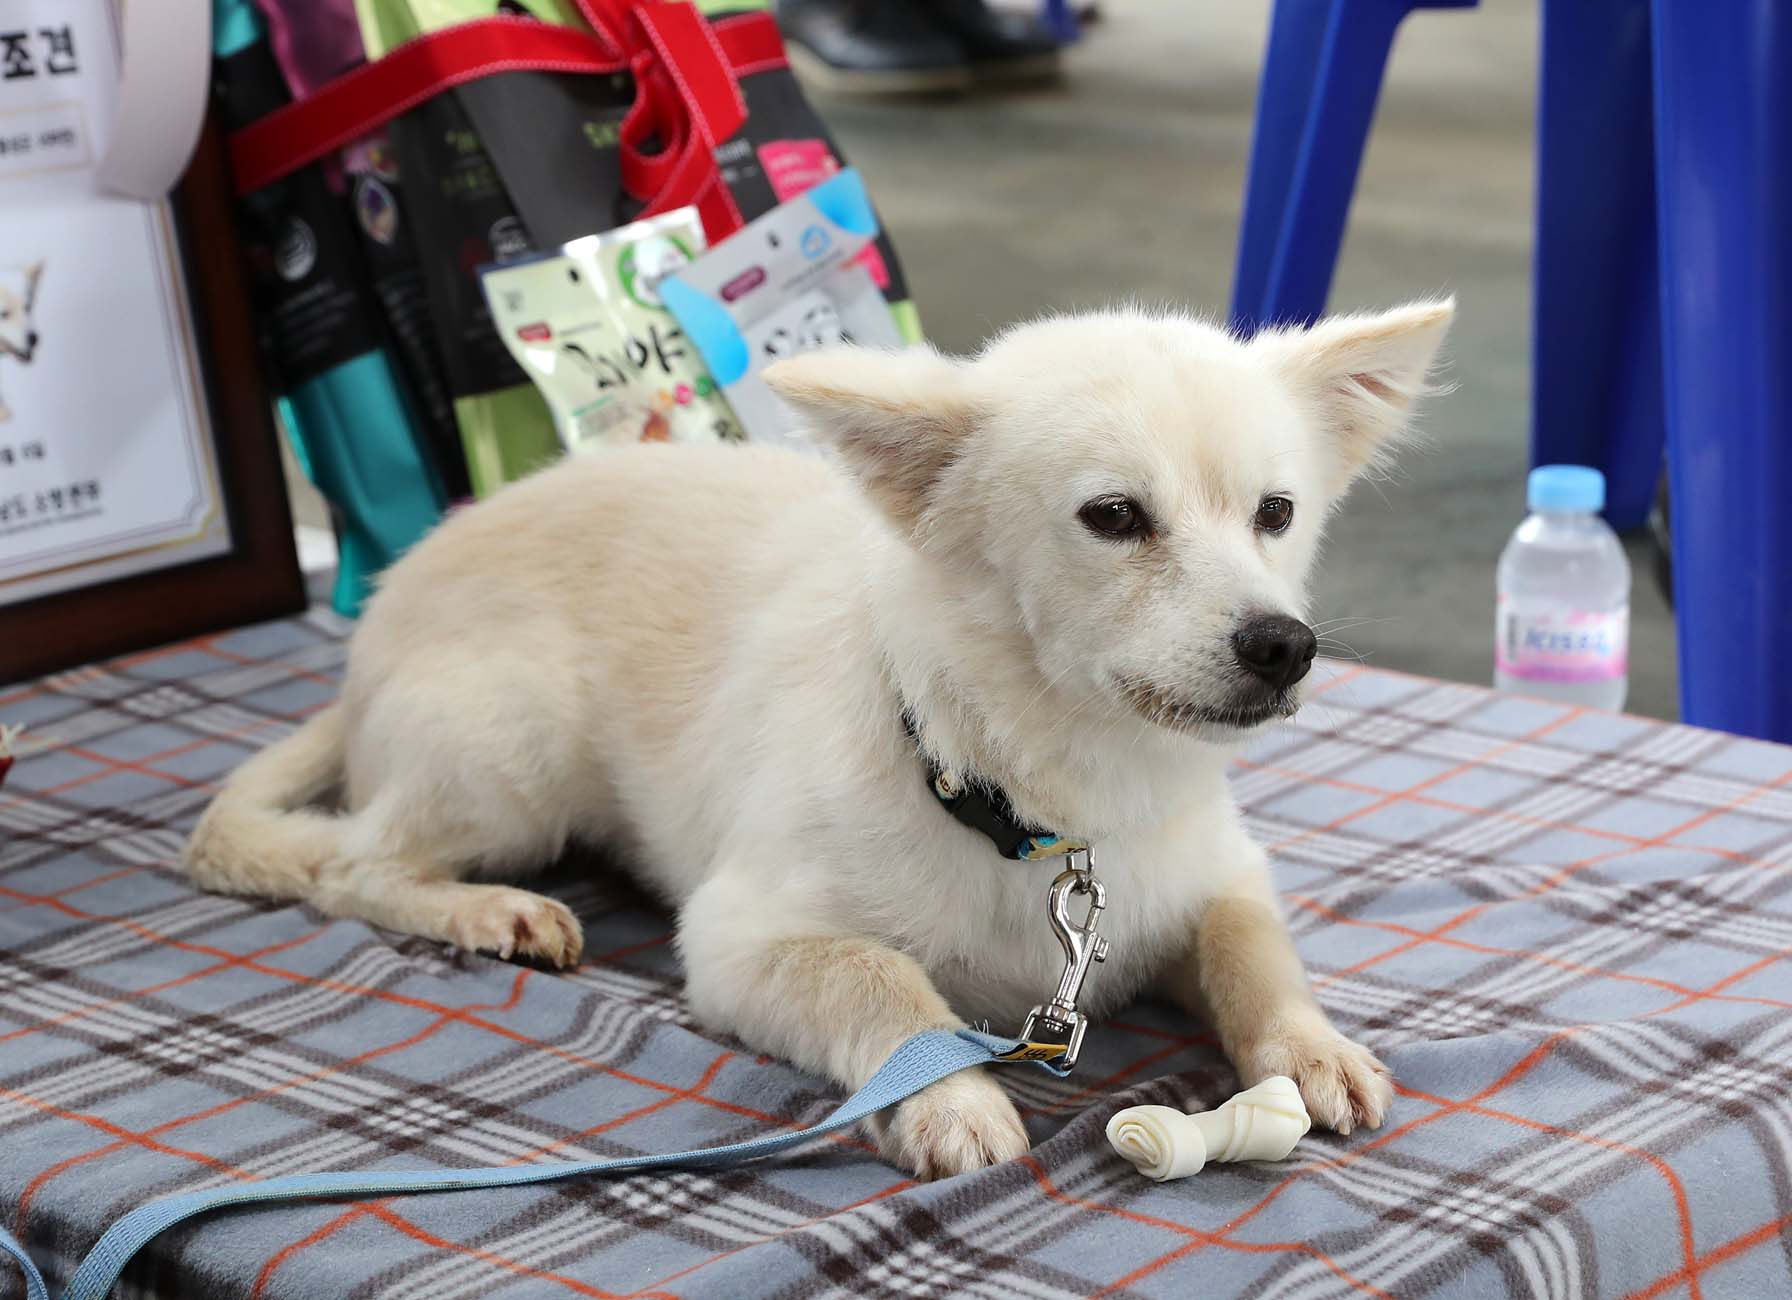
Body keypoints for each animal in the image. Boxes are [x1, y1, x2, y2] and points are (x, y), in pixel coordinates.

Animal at [181, 301, 1447, 1176]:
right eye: (1114, 517)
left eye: (1276, 514)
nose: (1283, 644)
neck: (1051, 808)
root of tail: (383, 611)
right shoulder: (740, 938)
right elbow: (882, 980)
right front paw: (946, 1095)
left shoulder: (1213, 872)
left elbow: (1250, 945)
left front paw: (1308, 1046)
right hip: (513, 753)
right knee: (354, 867)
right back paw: (489, 909)